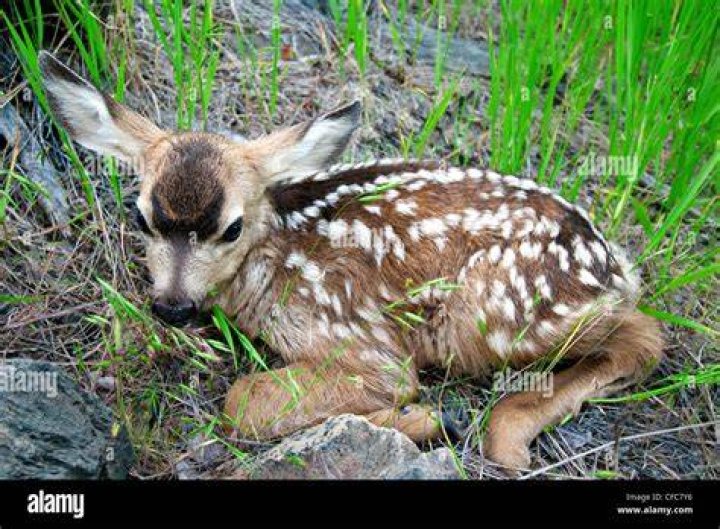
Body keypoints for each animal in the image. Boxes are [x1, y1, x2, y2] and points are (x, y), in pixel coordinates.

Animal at [39, 50, 663, 472]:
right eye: (142, 216)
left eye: (231, 228)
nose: (171, 306)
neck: (274, 253)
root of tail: (612, 264)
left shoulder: (358, 334)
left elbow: (243, 400)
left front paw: (419, 420)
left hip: (490, 312)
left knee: (645, 336)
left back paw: (505, 433)